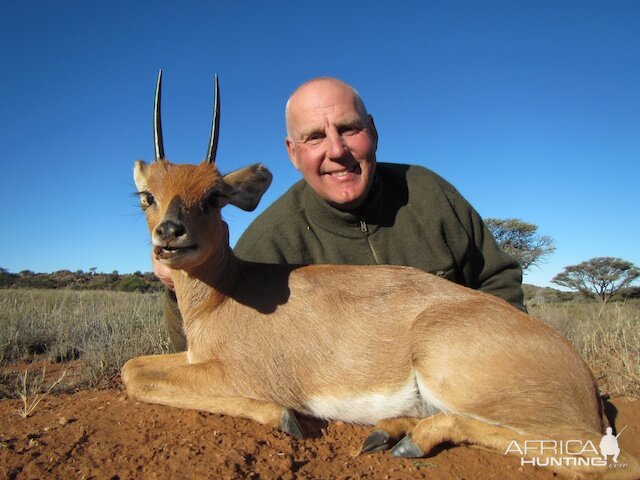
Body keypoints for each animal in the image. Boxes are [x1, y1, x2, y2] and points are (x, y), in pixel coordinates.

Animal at [122, 72, 636, 480]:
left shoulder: (235, 373)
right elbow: (132, 371)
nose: (170, 233)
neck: (226, 293)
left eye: (213, 196)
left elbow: (145, 381)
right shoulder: (193, 358)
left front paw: (283, 415)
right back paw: (388, 433)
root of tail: (583, 379)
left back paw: (410, 439)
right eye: (148, 196)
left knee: (609, 459)